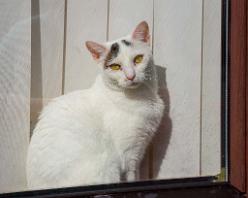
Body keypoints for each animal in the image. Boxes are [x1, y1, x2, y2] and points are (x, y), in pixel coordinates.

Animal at [26, 20, 165, 189]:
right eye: (115, 66)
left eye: (138, 59)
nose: (130, 76)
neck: (142, 97)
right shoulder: (128, 155)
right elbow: (132, 178)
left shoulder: (138, 150)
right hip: (107, 165)